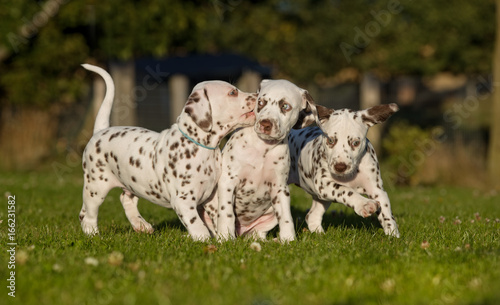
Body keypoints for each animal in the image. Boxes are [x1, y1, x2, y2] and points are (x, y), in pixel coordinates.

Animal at [80, 63, 258, 240]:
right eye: (233, 92)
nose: (257, 95)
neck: (201, 146)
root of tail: (100, 131)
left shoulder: (211, 196)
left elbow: (218, 217)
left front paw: (223, 238)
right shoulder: (183, 200)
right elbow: (198, 225)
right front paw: (204, 240)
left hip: (131, 183)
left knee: (125, 199)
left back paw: (141, 225)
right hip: (96, 186)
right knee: (88, 213)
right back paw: (93, 234)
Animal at [205, 79, 318, 241]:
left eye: (285, 106)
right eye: (261, 102)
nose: (265, 124)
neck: (262, 149)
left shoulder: (280, 188)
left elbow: (286, 218)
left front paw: (288, 240)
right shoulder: (228, 181)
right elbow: (226, 213)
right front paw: (225, 238)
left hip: (270, 215)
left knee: (260, 234)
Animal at [288, 103, 400, 236]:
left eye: (355, 143)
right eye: (330, 140)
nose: (340, 167)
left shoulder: (377, 190)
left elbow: (386, 213)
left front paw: (393, 234)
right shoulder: (323, 184)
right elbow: (346, 190)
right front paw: (364, 204)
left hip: (321, 199)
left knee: (311, 216)